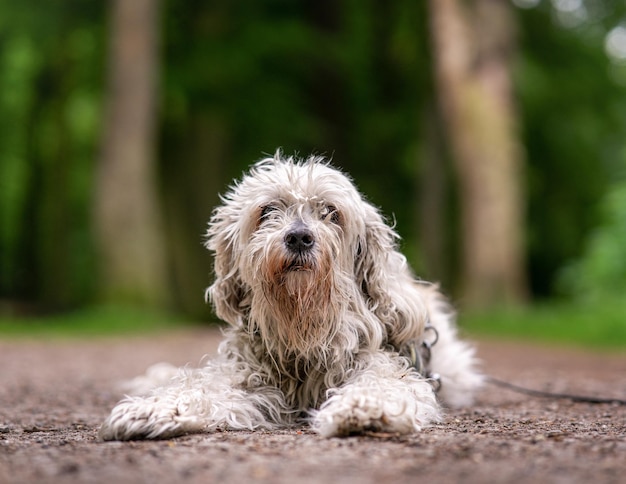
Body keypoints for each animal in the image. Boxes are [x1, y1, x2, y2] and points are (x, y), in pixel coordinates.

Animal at [98, 153, 478, 440]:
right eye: (267, 211)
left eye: (331, 212)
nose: (298, 237)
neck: (303, 334)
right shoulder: (249, 376)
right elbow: (201, 388)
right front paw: (152, 409)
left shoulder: (381, 365)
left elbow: (383, 386)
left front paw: (362, 409)